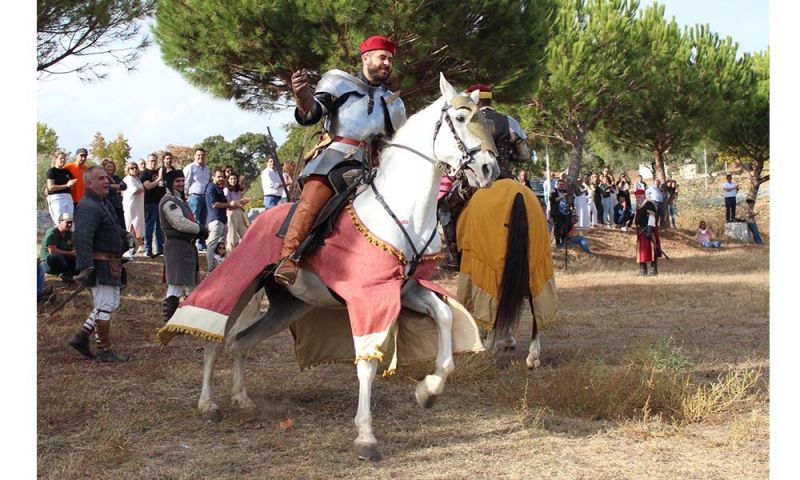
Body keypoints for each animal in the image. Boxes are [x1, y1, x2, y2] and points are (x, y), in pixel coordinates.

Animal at [193, 75, 496, 462]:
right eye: (459, 118)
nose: (489, 169)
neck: (402, 210)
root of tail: (256, 220)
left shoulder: (407, 290)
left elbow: (443, 318)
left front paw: (428, 391)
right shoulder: (369, 297)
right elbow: (366, 362)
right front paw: (366, 436)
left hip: (290, 305)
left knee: (242, 340)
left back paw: (242, 398)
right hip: (242, 282)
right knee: (214, 336)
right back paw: (208, 405)